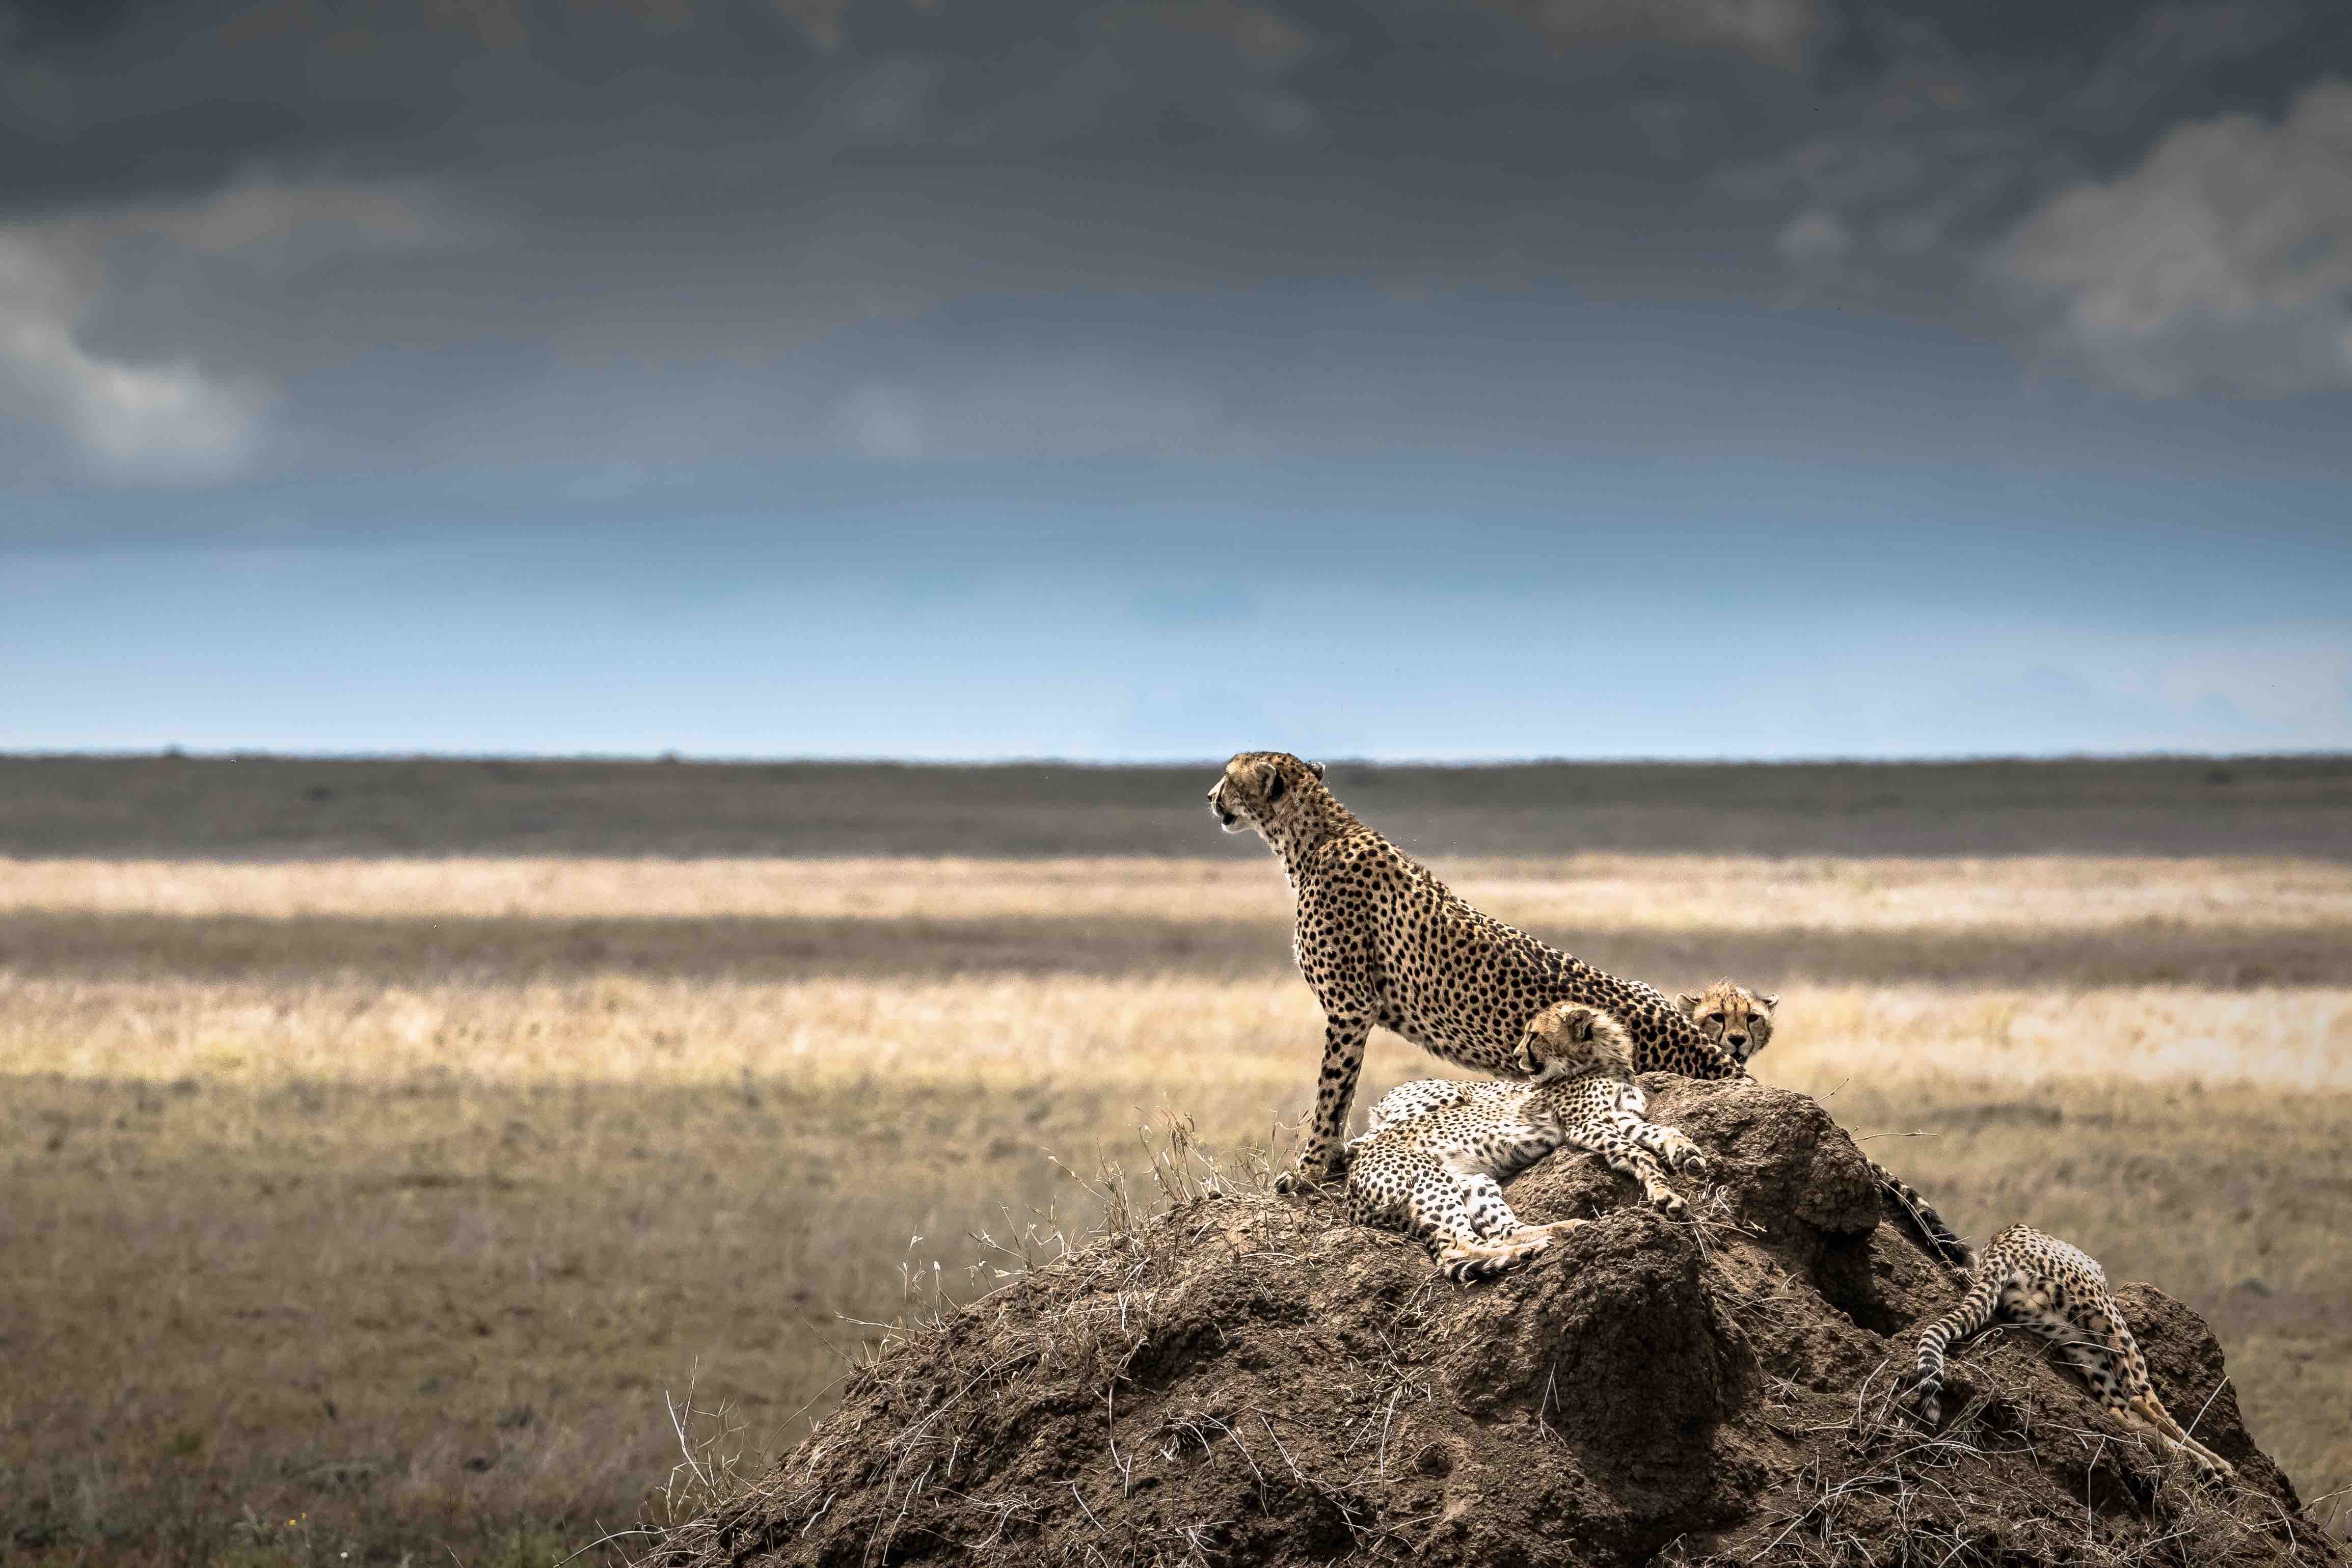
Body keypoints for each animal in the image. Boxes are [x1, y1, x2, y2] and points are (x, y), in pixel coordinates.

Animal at [1208, 751, 1748, 1189]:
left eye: (1228, 777)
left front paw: (1311, 1168)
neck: (1315, 835)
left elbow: (1332, 1090)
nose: (1211, 796)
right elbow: (1340, 1090)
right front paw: (1326, 1160)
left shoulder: (1350, 1006)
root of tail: (1723, 1064)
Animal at [1340, 1002, 1707, 1282]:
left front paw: (1684, 1159)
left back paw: (1559, 1231)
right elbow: (1638, 1153)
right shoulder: (1588, 1125)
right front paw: (1666, 1194)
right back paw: (1530, 1249)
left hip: (1473, 1180)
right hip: (1431, 1178)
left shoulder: (1623, 1118)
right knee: (1455, 1249)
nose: (1516, 1056)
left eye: (1534, 1035)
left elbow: (1661, 1135)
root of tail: (1352, 1193)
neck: (1605, 1062)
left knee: (1497, 1232)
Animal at [1910, 1222, 2235, 1485]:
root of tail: (1998, 1245)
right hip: (2108, 1321)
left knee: (2120, 1410)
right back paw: (2211, 1462)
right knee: (2142, 1398)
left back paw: (2193, 1460)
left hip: (2076, 1341)